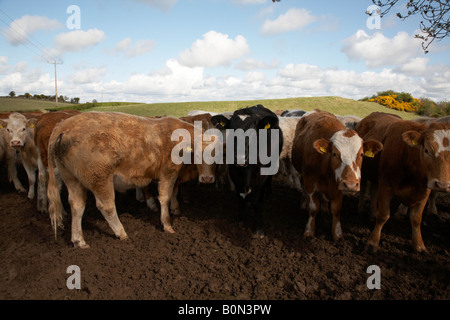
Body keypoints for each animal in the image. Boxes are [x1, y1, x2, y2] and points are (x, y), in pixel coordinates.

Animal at [47, 111, 218, 249]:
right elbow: (165, 197)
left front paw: (175, 209)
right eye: (197, 155)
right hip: (100, 179)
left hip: (72, 179)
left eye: (218, 158)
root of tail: (63, 126)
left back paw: (79, 241)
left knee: (77, 205)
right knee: (106, 206)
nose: (207, 179)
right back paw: (121, 233)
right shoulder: (168, 173)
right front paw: (167, 224)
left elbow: (175, 192)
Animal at [210, 105, 282, 238]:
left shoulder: (262, 176)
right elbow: (240, 198)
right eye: (232, 131)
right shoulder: (234, 173)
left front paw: (258, 228)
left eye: (253, 133)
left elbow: (257, 201)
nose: (240, 158)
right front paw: (241, 222)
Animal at [290, 110, 382, 240]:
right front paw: (309, 231)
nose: (351, 185)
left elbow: (336, 209)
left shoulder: (339, 186)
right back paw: (304, 204)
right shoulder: (310, 181)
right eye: (334, 153)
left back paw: (325, 208)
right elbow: (313, 208)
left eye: (362, 154)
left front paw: (337, 233)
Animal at [356, 112, 450, 252]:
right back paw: (361, 209)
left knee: (374, 191)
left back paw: (372, 213)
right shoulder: (386, 186)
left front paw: (419, 245)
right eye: (427, 150)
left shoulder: (425, 191)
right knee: (363, 188)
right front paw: (373, 242)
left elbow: (416, 218)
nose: (443, 185)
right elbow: (383, 215)